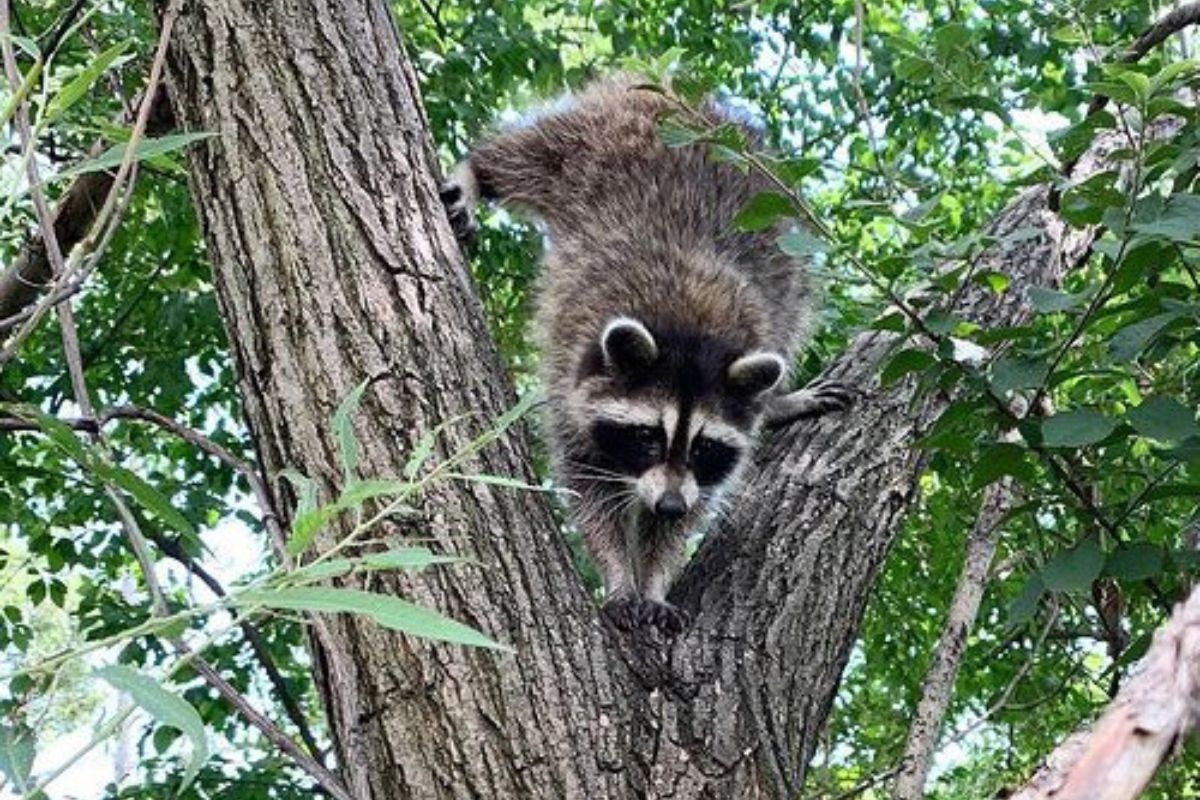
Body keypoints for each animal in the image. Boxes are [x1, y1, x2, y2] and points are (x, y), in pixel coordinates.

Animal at [444, 76, 854, 638]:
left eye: (704, 447)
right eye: (646, 437)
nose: (668, 504)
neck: (691, 330)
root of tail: (683, 99)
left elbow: (696, 507)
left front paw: (656, 578)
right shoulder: (573, 368)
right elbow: (589, 485)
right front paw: (620, 573)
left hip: (781, 231)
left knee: (794, 306)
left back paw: (775, 401)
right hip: (594, 136)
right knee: (529, 153)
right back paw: (477, 171)